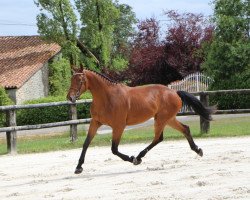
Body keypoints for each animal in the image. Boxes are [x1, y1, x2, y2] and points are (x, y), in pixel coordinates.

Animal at [67, 65, 215, 173]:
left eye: (80, 80)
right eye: (71, 79)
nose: (70, 97)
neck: (107, 98)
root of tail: (175, 92)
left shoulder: (119, 126)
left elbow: (114, 149)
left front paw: (132, 159)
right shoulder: (95, 122)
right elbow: (86, 143)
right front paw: (78, 167)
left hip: (161, 119)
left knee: (158, 138)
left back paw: (138, 157)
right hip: (168, 119)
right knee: (184, 129)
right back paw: (198, 150)